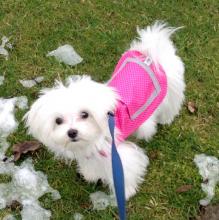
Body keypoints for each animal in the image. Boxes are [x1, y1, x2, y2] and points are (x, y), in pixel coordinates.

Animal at [24, 21, 185, 199]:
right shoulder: (91, 154)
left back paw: (166, 119)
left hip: (171, 89)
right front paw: (91, 175)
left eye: (85, 114)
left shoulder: (118, 155)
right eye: (58, 121)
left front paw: (126, 192)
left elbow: (125, 172)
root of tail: (149, 52)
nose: (72, 132)